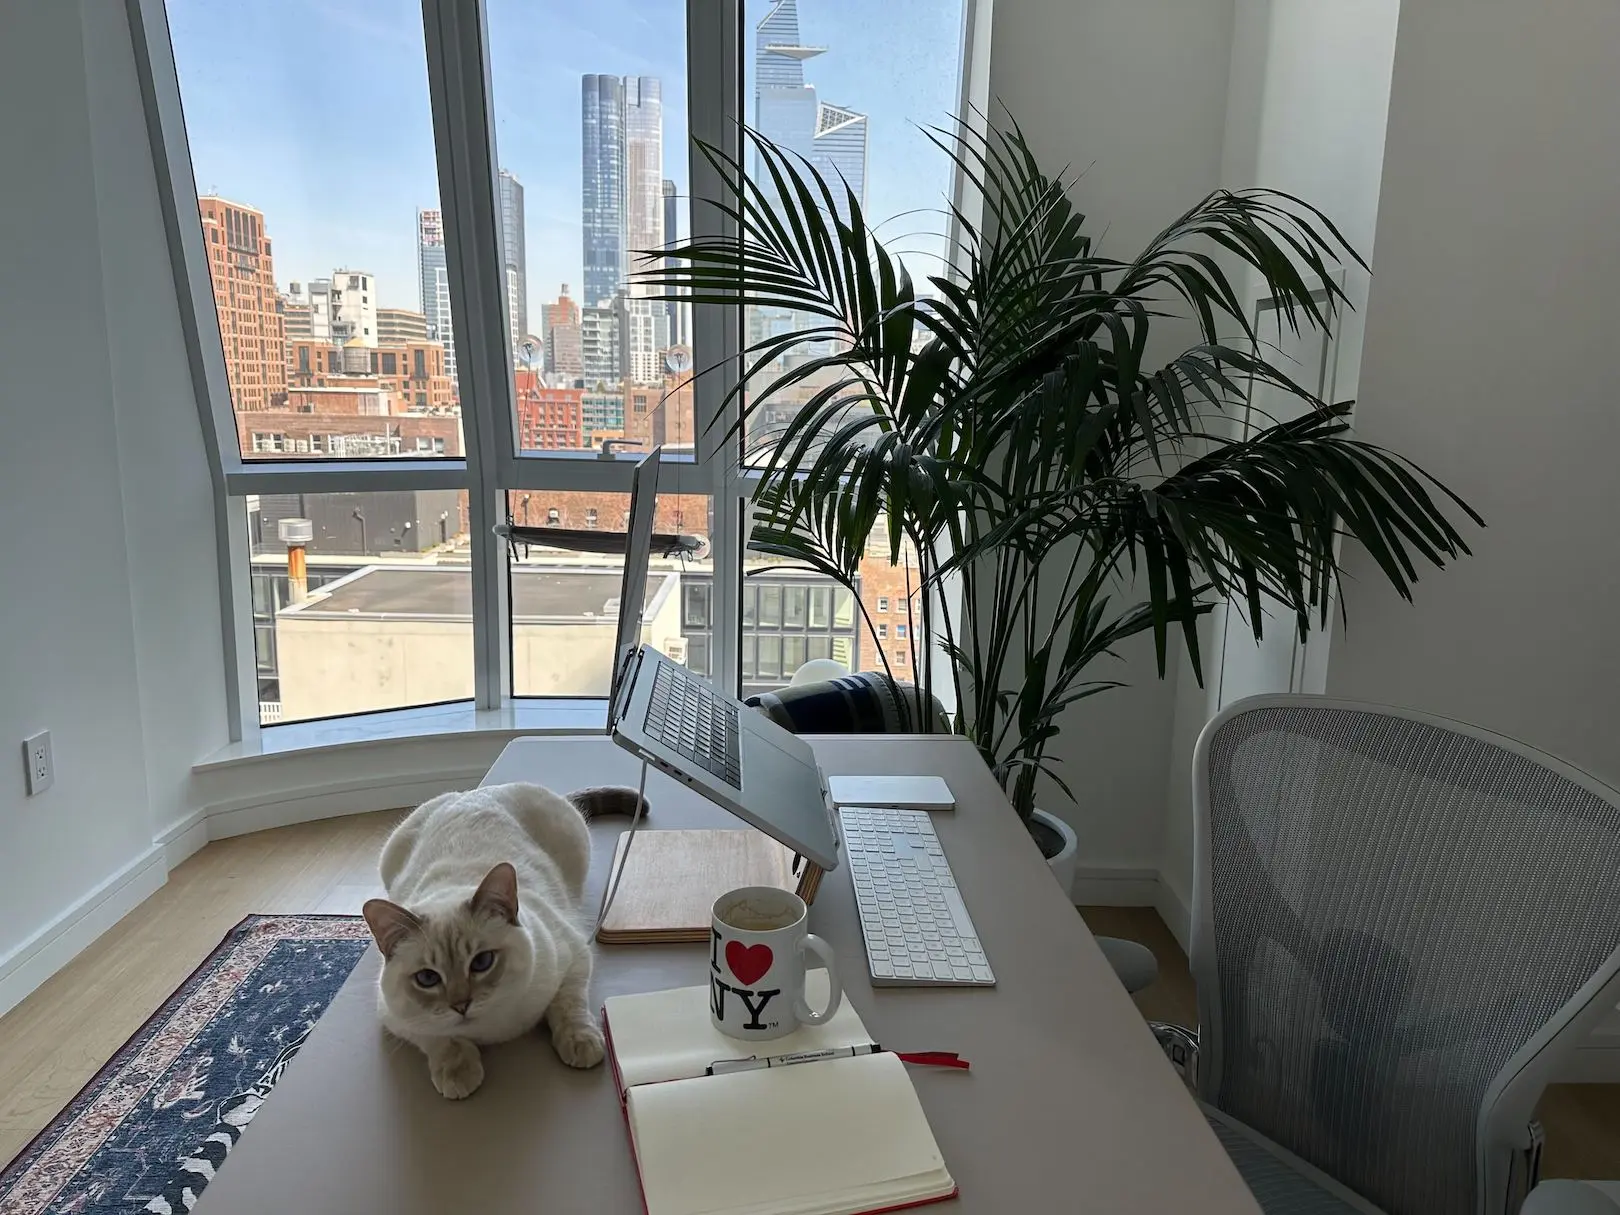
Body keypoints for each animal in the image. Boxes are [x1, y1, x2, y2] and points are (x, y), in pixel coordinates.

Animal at [364, 784, 641, 1101]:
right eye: (427, 978)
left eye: (482, 962)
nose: (461, 1005)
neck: (491, 1031)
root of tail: (477, 791)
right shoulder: (396, 1018)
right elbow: (443, 1039)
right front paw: (458, 1075)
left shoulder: (574, 956)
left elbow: (569, 1005)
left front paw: (581, 1043)